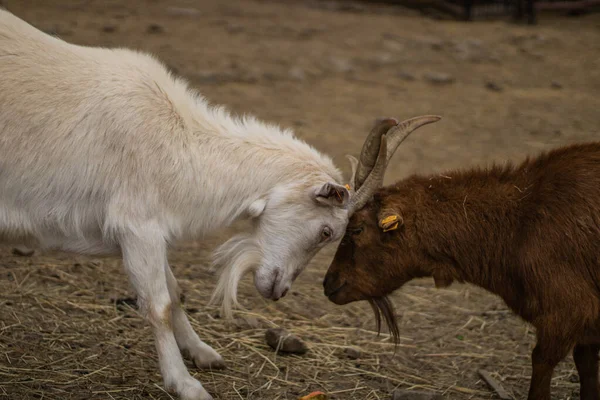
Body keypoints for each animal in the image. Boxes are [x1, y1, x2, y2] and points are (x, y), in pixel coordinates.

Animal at [0, 10, 350, 400]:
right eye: (326, 231)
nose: (280, 291)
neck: (178, 141)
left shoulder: (152, 233)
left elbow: (176, 291)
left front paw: (202, 352)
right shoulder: (137, 226)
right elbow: (160, 306)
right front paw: (184, 383)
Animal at [326, 130, 600, 396]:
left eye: (357, 229)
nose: (329, 283)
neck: (519, 220)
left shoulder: (565, 314)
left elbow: (542, 365)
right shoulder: (587, 330)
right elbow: (586, 368)